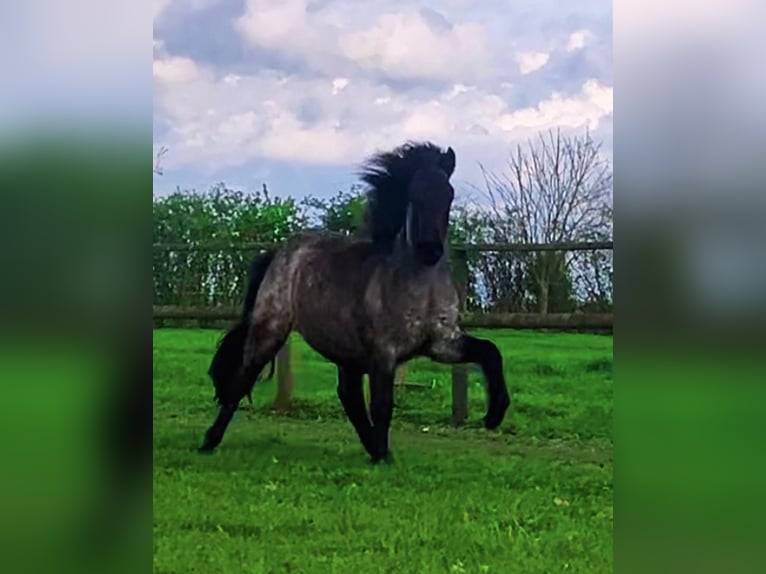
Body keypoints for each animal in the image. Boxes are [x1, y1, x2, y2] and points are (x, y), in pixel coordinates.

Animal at [200, 142, 510, 466]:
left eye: (448, 194)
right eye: (414, 194)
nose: (430, 250)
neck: (419, 287)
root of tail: (281, 251)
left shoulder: (441, 342)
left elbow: (490, 351)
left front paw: (495, 414)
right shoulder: (383, 352)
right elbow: (383, 405)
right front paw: (384, 458)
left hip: (343, 349)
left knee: (348, 395)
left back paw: (373, 447)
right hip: (271, 329)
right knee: (242, 379)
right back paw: (209, 441)